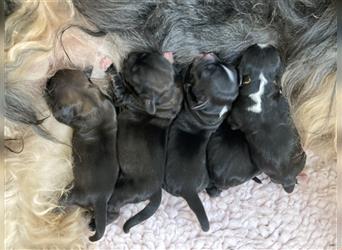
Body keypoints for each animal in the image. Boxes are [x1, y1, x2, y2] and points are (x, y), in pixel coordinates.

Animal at [44, 69, 119, 241]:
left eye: (53, 85)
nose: (48, 79)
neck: (90, 100)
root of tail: (100, 200)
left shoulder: (66, 116)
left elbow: (58, 114)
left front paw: (45, 96)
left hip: (72, 194)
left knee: (62, 203)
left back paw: (53, 210)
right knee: (114, 214)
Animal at [107, 50, 183, 232]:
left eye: (134, 72)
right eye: (144, 54)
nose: (129, 55)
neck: (167, 96)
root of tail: (156, 192)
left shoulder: (125, 98)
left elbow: (118, 86)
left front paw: (111, 68)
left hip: (123, 191)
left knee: (114, 210)